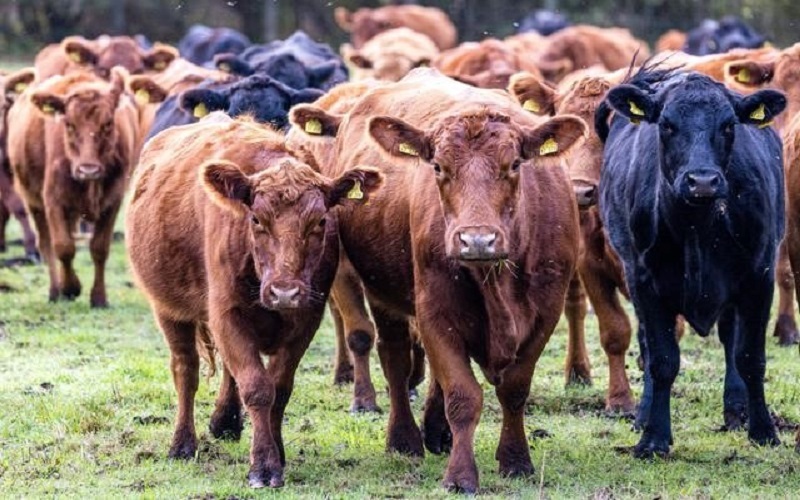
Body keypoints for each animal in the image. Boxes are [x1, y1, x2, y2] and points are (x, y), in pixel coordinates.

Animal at [6, 68, 138, 307]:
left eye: (107, 124)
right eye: (69, 124)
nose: (88, 169)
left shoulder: (113, 202)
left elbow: (99, 248)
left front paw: (99, 298)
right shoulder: (53, 200)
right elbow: (63, 247)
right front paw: (70, 288)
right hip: (34, 203)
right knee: (46, 244)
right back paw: (54, 291)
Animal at [126, 112, 382, 488]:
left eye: (320, 221)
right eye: (257, 219)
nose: (285, 291)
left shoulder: (306, 318)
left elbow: (278, 387)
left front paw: (277, 451)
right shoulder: (227, 314)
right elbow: (257, 388)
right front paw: (264, 465)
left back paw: (226, 421)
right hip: (169, 309)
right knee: (185, 369)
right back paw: (182, 444)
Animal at [290, 68, 586, 492]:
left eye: (514, 165)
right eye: (438, 168)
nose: (476, 239)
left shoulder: (546, 312)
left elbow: (514, 390)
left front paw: (516, 460)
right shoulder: (435, 309)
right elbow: (463, 395)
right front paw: (460, 475)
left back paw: (437, 432)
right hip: (383, 293)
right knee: (396, 359)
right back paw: (406, 439)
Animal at [596, 66, 785, 457]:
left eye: (728, 125)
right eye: (667, 125)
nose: (703, 181)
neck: (699, 226)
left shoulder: (759, 277)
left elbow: (751, 357)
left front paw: (763, 431)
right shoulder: (644, 282)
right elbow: (662, 359)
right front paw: (653, 437)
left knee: (730, 338)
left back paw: (736, 410)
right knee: (647, 347)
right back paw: (643, 415)